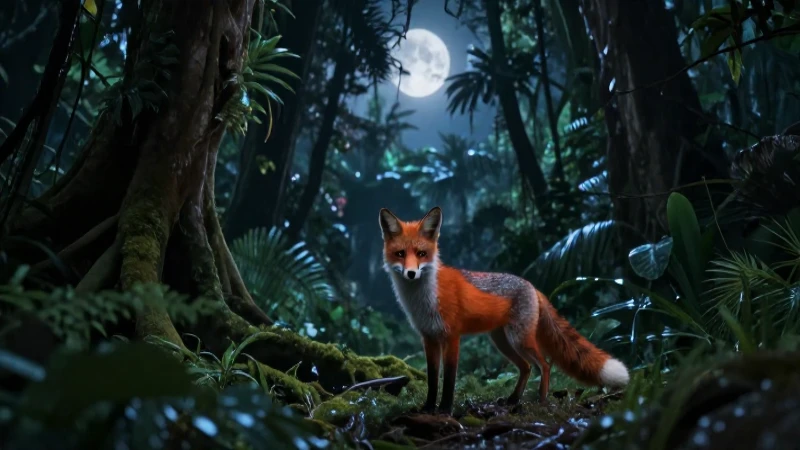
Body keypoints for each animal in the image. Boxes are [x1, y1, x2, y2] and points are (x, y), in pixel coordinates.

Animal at [379, 206, 630, 414]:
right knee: (527, 368)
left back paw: (541, 401)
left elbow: (449, 379)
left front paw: (445, 410)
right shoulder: (429, 338)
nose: (411, 273)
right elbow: (432, 379)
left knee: (544, 365)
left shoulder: (452, 337)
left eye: (421, 254)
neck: (425, 298)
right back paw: (513, 400)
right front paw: (428, 408)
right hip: (502, 342)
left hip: (520, 340)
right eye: (400, 253)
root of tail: (532, 287)